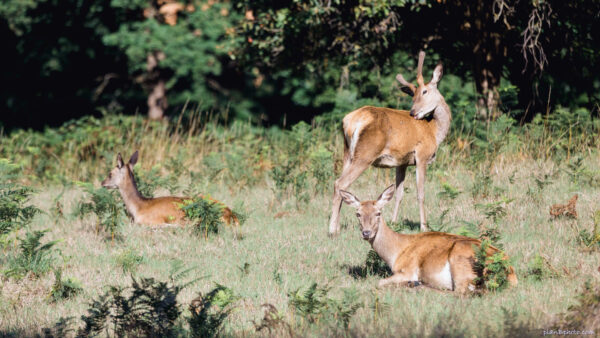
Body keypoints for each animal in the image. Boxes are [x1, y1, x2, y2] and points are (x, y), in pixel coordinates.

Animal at [328, 50, 450, 235]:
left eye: (425, 92)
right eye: (414, 95)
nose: (413, 112)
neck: (434, 131)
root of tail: (351, 121)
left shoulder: (402, 162)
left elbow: (398, 193)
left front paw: (393, 222)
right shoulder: (422, 155)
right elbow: (421, 193)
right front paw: (424, 226)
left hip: (347, 152)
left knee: (341, 185)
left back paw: (337, 226)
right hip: (365, 154)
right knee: (339, 183)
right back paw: (332, 230)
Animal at [338, 185, 516, 294]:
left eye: (378, 213)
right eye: (358, 213)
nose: (366, 233)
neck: (397, 252)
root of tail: (510, 273)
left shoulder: (408, 269)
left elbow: (379, 282)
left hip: (461, 259)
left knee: (460, 292)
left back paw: (417, 285)